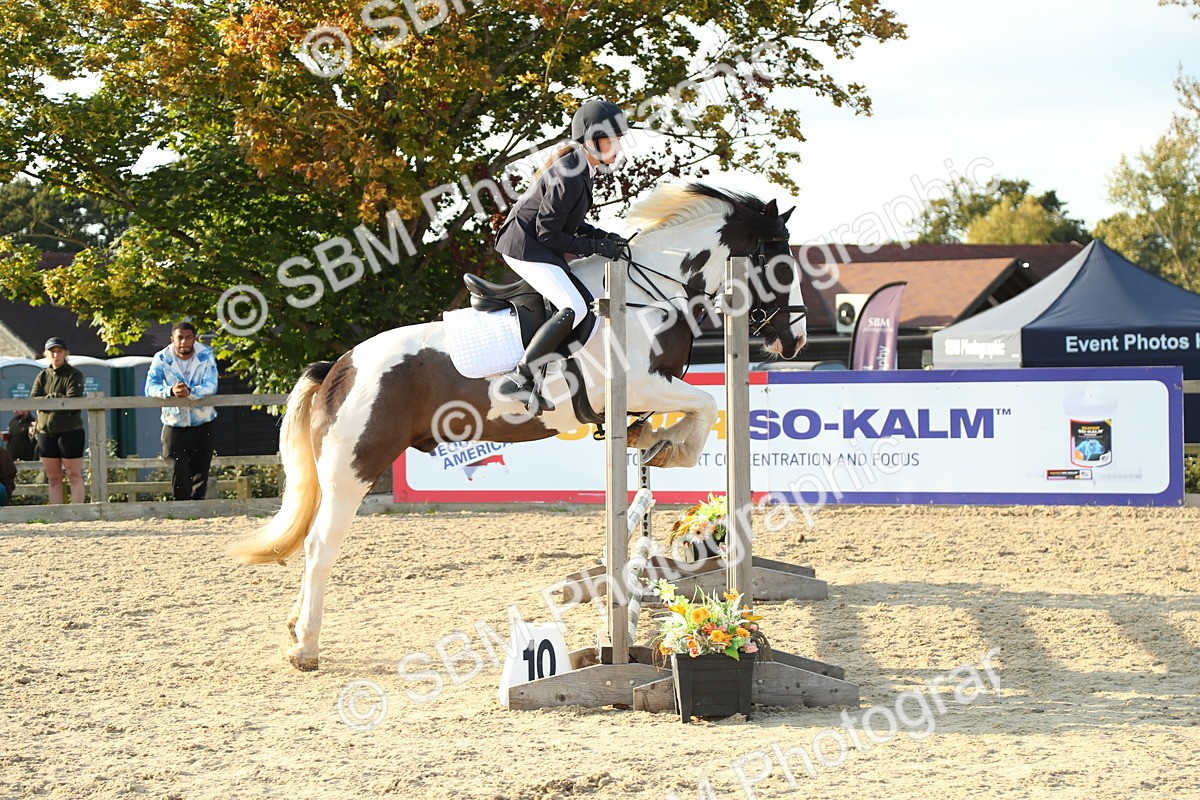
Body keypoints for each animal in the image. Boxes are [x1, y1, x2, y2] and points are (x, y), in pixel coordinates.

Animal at [229, 182, 808, 671]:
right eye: (782, 263)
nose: (795, 340)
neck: (651, 295)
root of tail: (340, 366)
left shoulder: (643, 394)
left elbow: (679, 424)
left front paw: (655, 444)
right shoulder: (644, 383)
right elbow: (706, 404)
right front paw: (676, 451)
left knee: (313, 544)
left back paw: (295, 630)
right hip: (354, 465)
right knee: (320, 545)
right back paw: (306, 647)